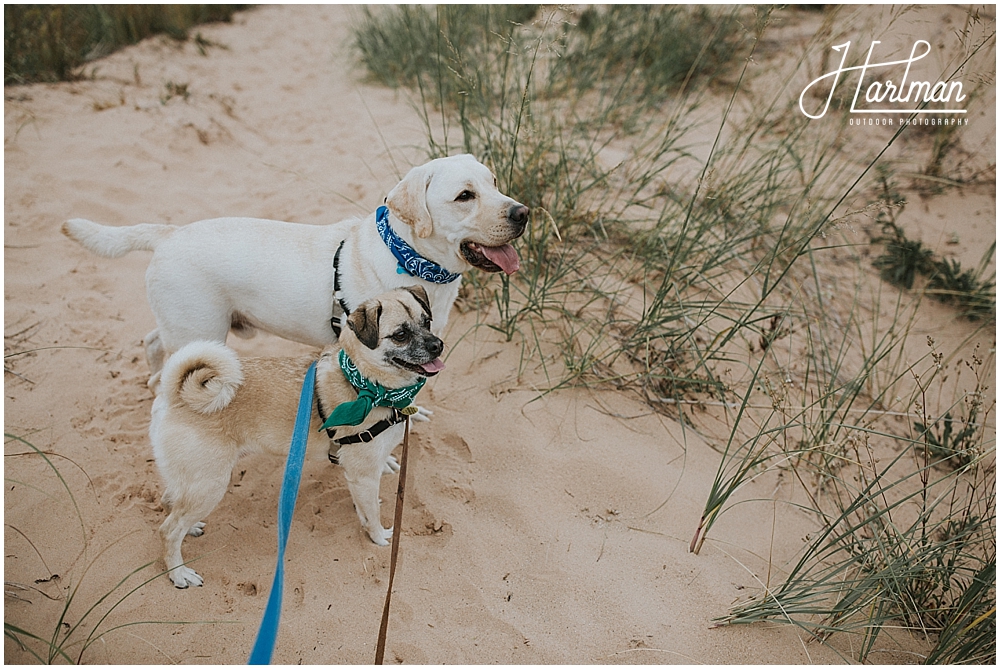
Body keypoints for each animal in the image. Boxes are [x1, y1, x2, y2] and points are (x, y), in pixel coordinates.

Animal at [63, 155, 528, 376]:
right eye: (465, 196)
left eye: (493, 182)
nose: (523, 212)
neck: (408, 255)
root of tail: (168, 234)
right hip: (200, 327)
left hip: (183, 323)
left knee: (152, 341)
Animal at [151, 284, 442, 588]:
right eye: (400, 335)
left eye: (427, 322)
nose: (438, 346)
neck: (367, 385)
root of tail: (175, 395)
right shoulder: (363, 475)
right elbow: (372, 514)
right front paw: (379, 537)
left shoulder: (357, 476)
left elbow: (365, 506)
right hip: (210, 484)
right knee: (168, 530)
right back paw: (179, 573)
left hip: (192, 481)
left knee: (170, 502)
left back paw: (190, 528)